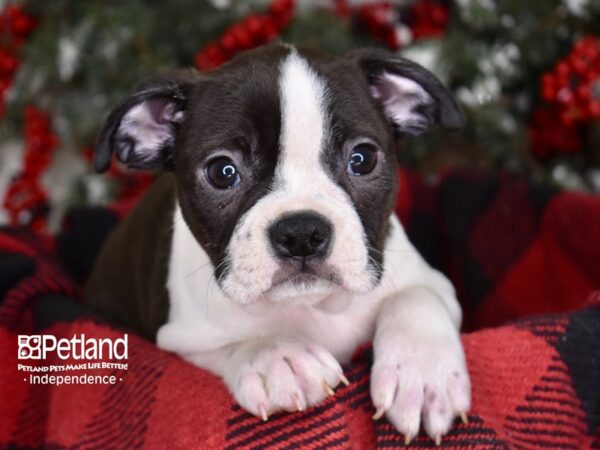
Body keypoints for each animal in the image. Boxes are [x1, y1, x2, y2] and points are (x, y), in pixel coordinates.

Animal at [85, 44, 468, 444]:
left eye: (363, 159)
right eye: (222, 172)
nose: (301, 232)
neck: (311, 305)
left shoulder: (431, 281)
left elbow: (415, 297)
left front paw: (422, 375)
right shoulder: (179, 339)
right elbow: (238, 341)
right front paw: (280, 356)